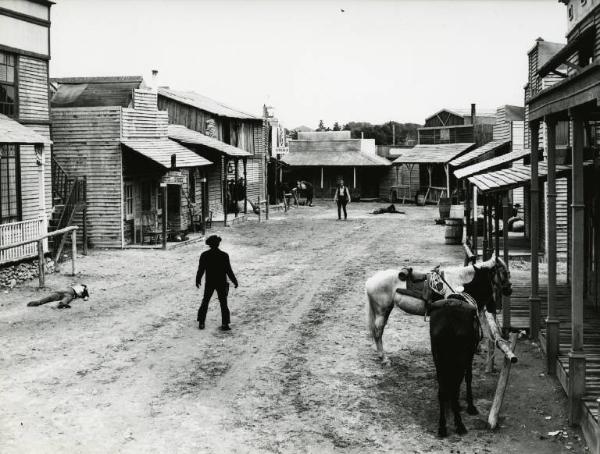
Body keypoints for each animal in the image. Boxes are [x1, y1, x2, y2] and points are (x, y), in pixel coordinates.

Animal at [364, 255, 508, 366]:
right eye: (504, 272)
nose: (509, 289)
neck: (459, 282)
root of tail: (371, 280)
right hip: (381, 311)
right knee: (378, 332)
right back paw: (384, 358)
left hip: (386, 310)